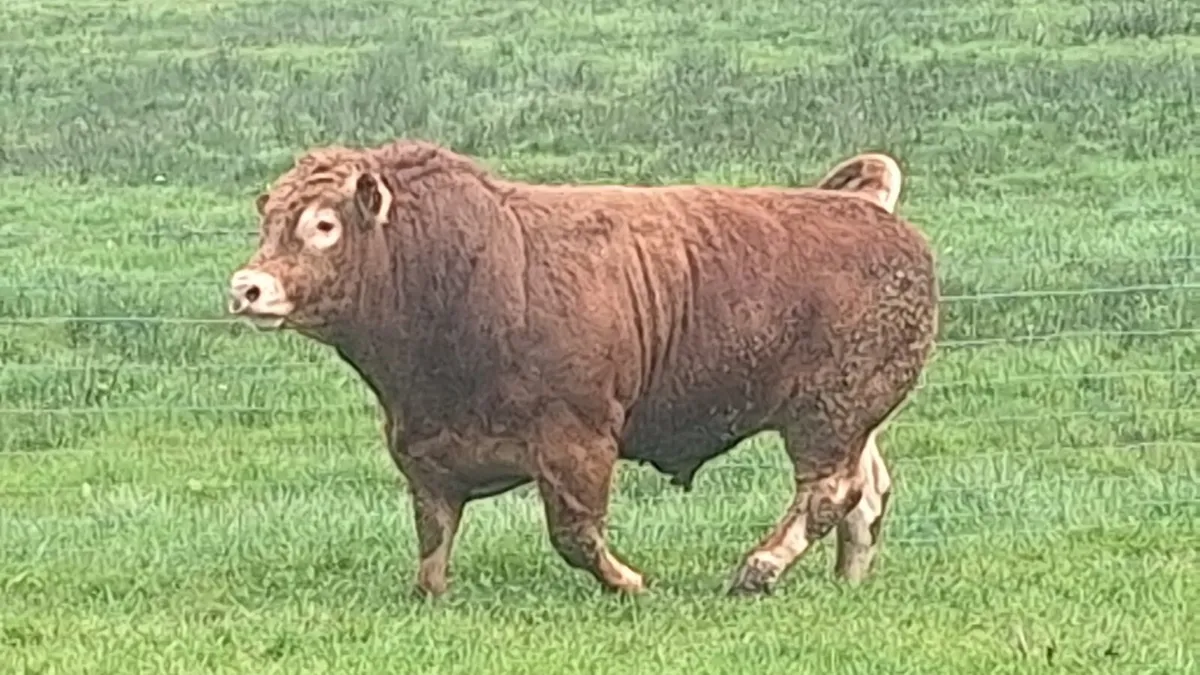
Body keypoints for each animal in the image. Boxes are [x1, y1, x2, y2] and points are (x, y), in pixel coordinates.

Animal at [226, 139, 939, 598]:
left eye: (323, 225)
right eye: (270, 221)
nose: (247, 287)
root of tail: (869, 209)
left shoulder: (576, 439)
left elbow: (573, 532)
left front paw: (629, 582)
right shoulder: (424, 451)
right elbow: (433, 539)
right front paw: (431, 591)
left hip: (827, 412)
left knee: (829, 490)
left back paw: (758, 568)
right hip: (849, 420)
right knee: (866, 489)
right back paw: (847, 579)